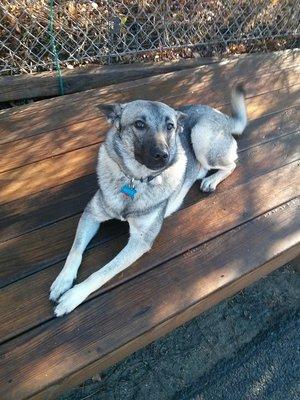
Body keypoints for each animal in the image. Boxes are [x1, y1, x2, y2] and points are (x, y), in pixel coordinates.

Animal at [49, 83, 246, 316]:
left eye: (170, 127)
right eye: (139, 124)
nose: (163, 155)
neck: (135, 180)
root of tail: (220, 114)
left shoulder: (139, 241)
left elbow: (103, 272)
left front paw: (73, 296)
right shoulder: (91, 215)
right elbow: (75, 251)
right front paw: (63, 281)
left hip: (202, 136)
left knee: (232, 163)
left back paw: (211, 180)